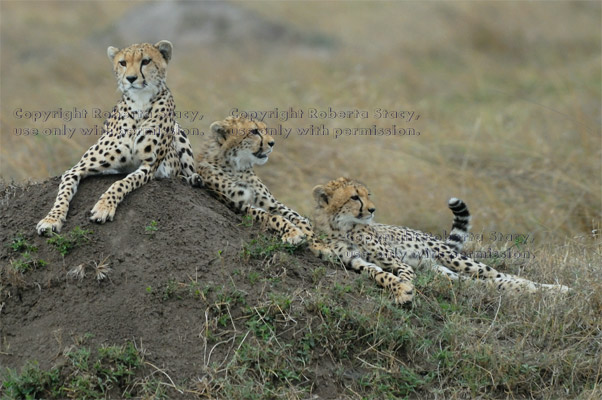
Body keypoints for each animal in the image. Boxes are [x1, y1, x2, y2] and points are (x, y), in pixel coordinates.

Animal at [36, 40, 195, 234]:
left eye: (146, 61)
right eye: (123, 63)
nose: (131, 78)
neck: (140, 103)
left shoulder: (148, 167)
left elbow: (121, 183)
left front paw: (103, 207)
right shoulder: (77, 169)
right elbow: (63, 192)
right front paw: (51, 219)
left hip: (179, 134)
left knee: (188, 171)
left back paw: (193, 179)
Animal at [188, 116, 310, 244]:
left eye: (265, 129)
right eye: (254, 131)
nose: (272, 143)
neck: (235, 166)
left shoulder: (272, 203)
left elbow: (295, 216)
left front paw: (311, 238)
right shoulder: (240, 206)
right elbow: (273, 217)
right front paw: (294, 233)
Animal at [310, 177, 568, 304]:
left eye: (367, 195)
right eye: (355, 197)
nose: (373, 210)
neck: (343, 227)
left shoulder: (397, 261)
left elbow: (403, 273)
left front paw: (405, 286)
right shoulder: (356, 261)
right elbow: (380, 274)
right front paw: (400, 290)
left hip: (457, 260)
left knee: (503, 275)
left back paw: (556, 289)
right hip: (442, 271)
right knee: (484, 282)